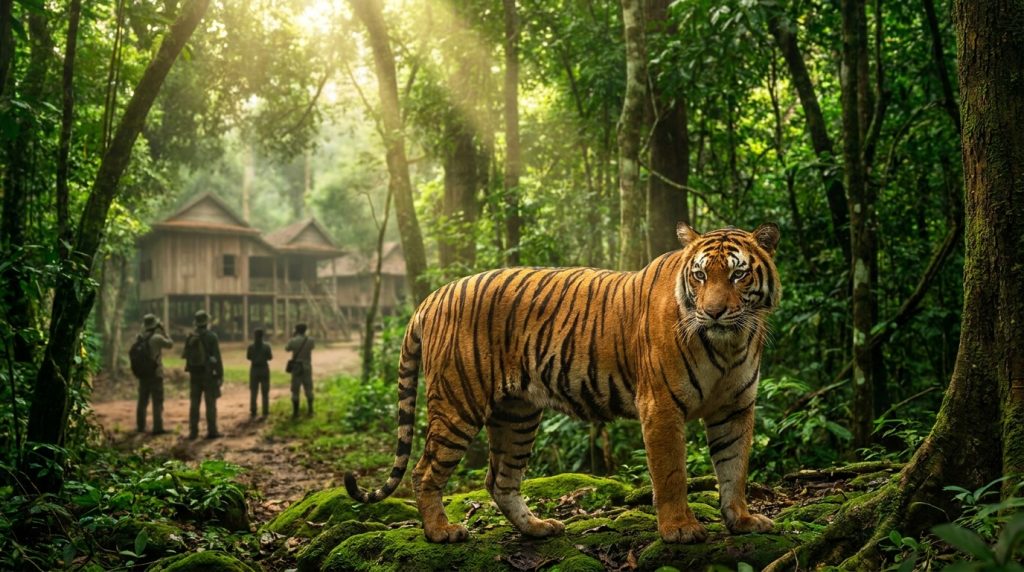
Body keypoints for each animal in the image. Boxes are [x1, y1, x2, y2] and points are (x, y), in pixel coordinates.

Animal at [344, 223, 781, 544]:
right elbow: (672, 473)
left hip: (517, 414)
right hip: (458, 403)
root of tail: (433, 296)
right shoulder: (660, 406)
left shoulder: (736, 407)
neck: (728, 344)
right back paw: (441, 532)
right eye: (700, 275)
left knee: (499, 480)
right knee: (424, 471)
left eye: (739, 274)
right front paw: (681, 529)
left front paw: (742, 521)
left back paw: (537, 528)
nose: (714, 313)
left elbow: (734, 468)